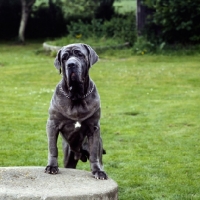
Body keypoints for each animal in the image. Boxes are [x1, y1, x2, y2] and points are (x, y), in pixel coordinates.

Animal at [45, 43, 108, 180]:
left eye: (80, 54)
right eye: (64, 57)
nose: (71, 64)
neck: (77, 96)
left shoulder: (94, 128)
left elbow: (94, 154)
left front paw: (97, 171)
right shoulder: (52, 124)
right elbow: (52, 148)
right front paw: (52, 166)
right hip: (69, 156)